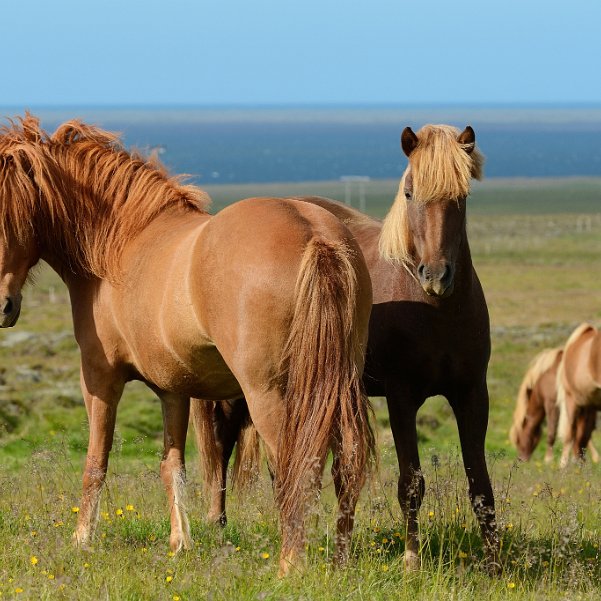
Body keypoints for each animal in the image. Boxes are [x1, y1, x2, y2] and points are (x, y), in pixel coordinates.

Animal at [0, 113, 376, 572]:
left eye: (13, 216)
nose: (3, 307)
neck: (123, 244)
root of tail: (316, 234)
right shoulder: (173, 389)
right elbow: (172, 465)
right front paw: (181, 542)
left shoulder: (99, 378)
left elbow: (96, 462)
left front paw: (82, 540)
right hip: (338, 384)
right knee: (346, 463)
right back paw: (340, 560)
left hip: (270, 395)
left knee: (295, 468)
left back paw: (290, 566)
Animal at [191, 123, 496, 568]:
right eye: (409, 192)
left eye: (462, 196)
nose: (436, 275)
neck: (436, 310)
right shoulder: (403, 398)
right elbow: (412, 484)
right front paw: (411, 560)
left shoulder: (472, 394)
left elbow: (481, 487)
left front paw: (495, 565)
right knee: (220, 444)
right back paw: (218, 527)